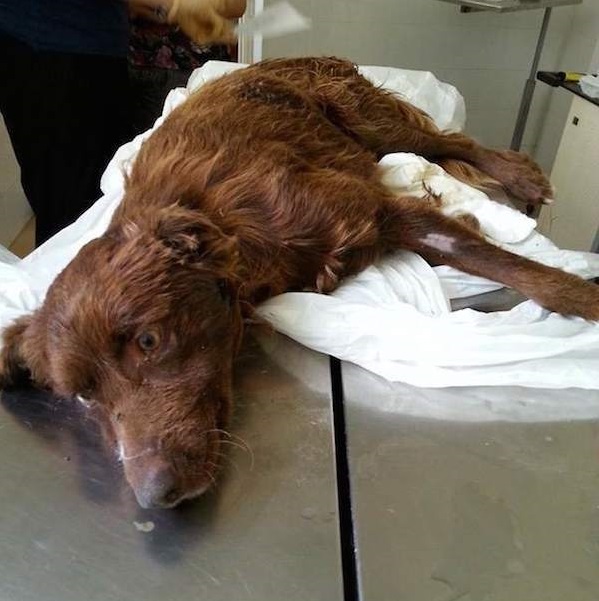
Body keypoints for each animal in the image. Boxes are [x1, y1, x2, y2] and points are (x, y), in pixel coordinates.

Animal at [1, 57, 598, 508]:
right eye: (83, 395)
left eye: (149, 340)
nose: (155, 495)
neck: (230, 229)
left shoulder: (376, 211)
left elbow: (504, 264)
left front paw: (582, 297)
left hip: (367, 117)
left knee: (448, 140)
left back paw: (521, 176)